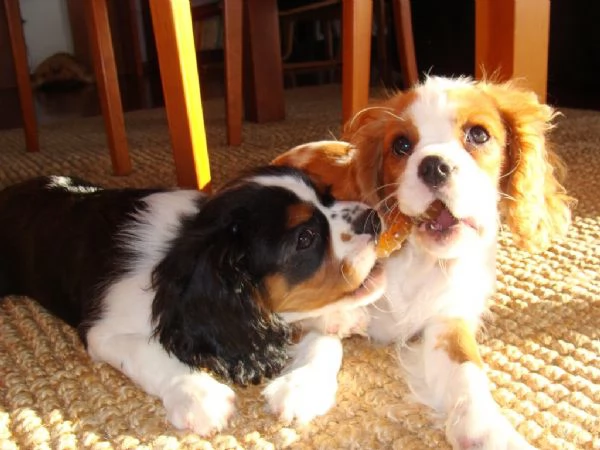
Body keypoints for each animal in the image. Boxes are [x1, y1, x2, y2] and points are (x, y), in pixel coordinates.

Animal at [0, 166, 384, 436]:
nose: (376, 218)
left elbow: (325, 342)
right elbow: (148, 352)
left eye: (329, 196)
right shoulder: (104, 329)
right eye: (305, 237)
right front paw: (199, 395)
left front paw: (303, 387)